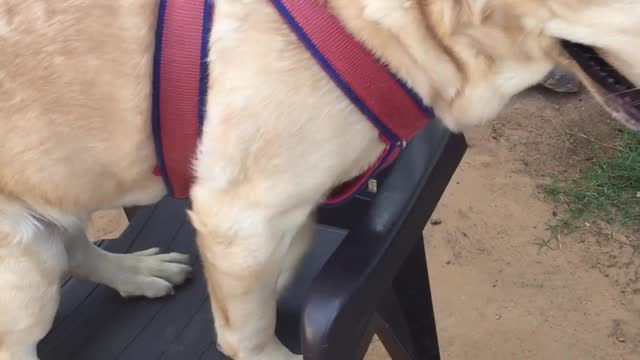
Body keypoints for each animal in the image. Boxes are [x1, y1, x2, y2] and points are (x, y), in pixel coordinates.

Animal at [0, 0, 636, 358]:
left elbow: (296, 247)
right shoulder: (240, 220)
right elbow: (249, 330)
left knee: (72, 244)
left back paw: (136, 271)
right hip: (22, 274)